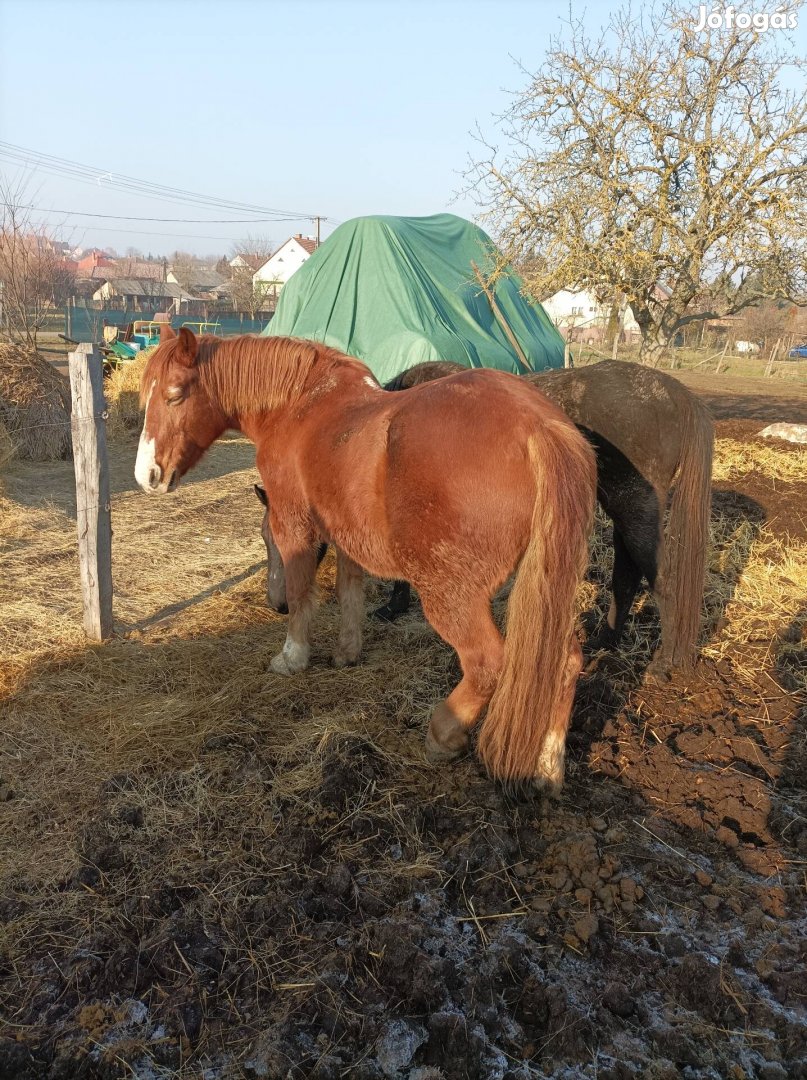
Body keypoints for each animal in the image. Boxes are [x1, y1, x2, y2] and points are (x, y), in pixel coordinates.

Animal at [135, 324, 596, 790]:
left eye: (174, 395)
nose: (146, 476)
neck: (300, 405)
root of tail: (539, 426)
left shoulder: (293, 522)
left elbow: (303, 591)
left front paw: (292, 657)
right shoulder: (346, 531)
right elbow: (349, 590)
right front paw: (347, 651)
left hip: (452, 596)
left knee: (488, 665)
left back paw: (443, 733)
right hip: (542, 585)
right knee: (564, 661)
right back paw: (547, 766)